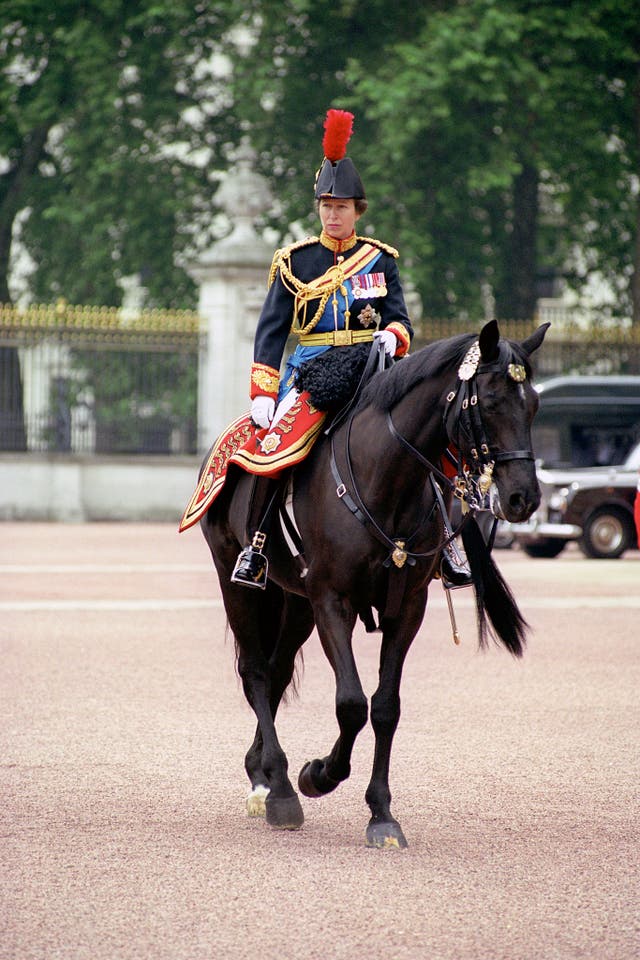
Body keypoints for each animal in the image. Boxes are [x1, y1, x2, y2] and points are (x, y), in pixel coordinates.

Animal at [201, 320, 552, 848]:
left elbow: (386, 707)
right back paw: (279, 789)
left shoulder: (406, 606)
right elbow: (351, 703)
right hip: (235, 579)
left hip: (296, 601)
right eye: (488, 402)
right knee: (257, 672)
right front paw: (318, 775)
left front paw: (381, 813)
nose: (522, 498)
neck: (387, 478)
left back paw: (262, 772)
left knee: (277, 671)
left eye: (532, 404)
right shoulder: (333, 600)